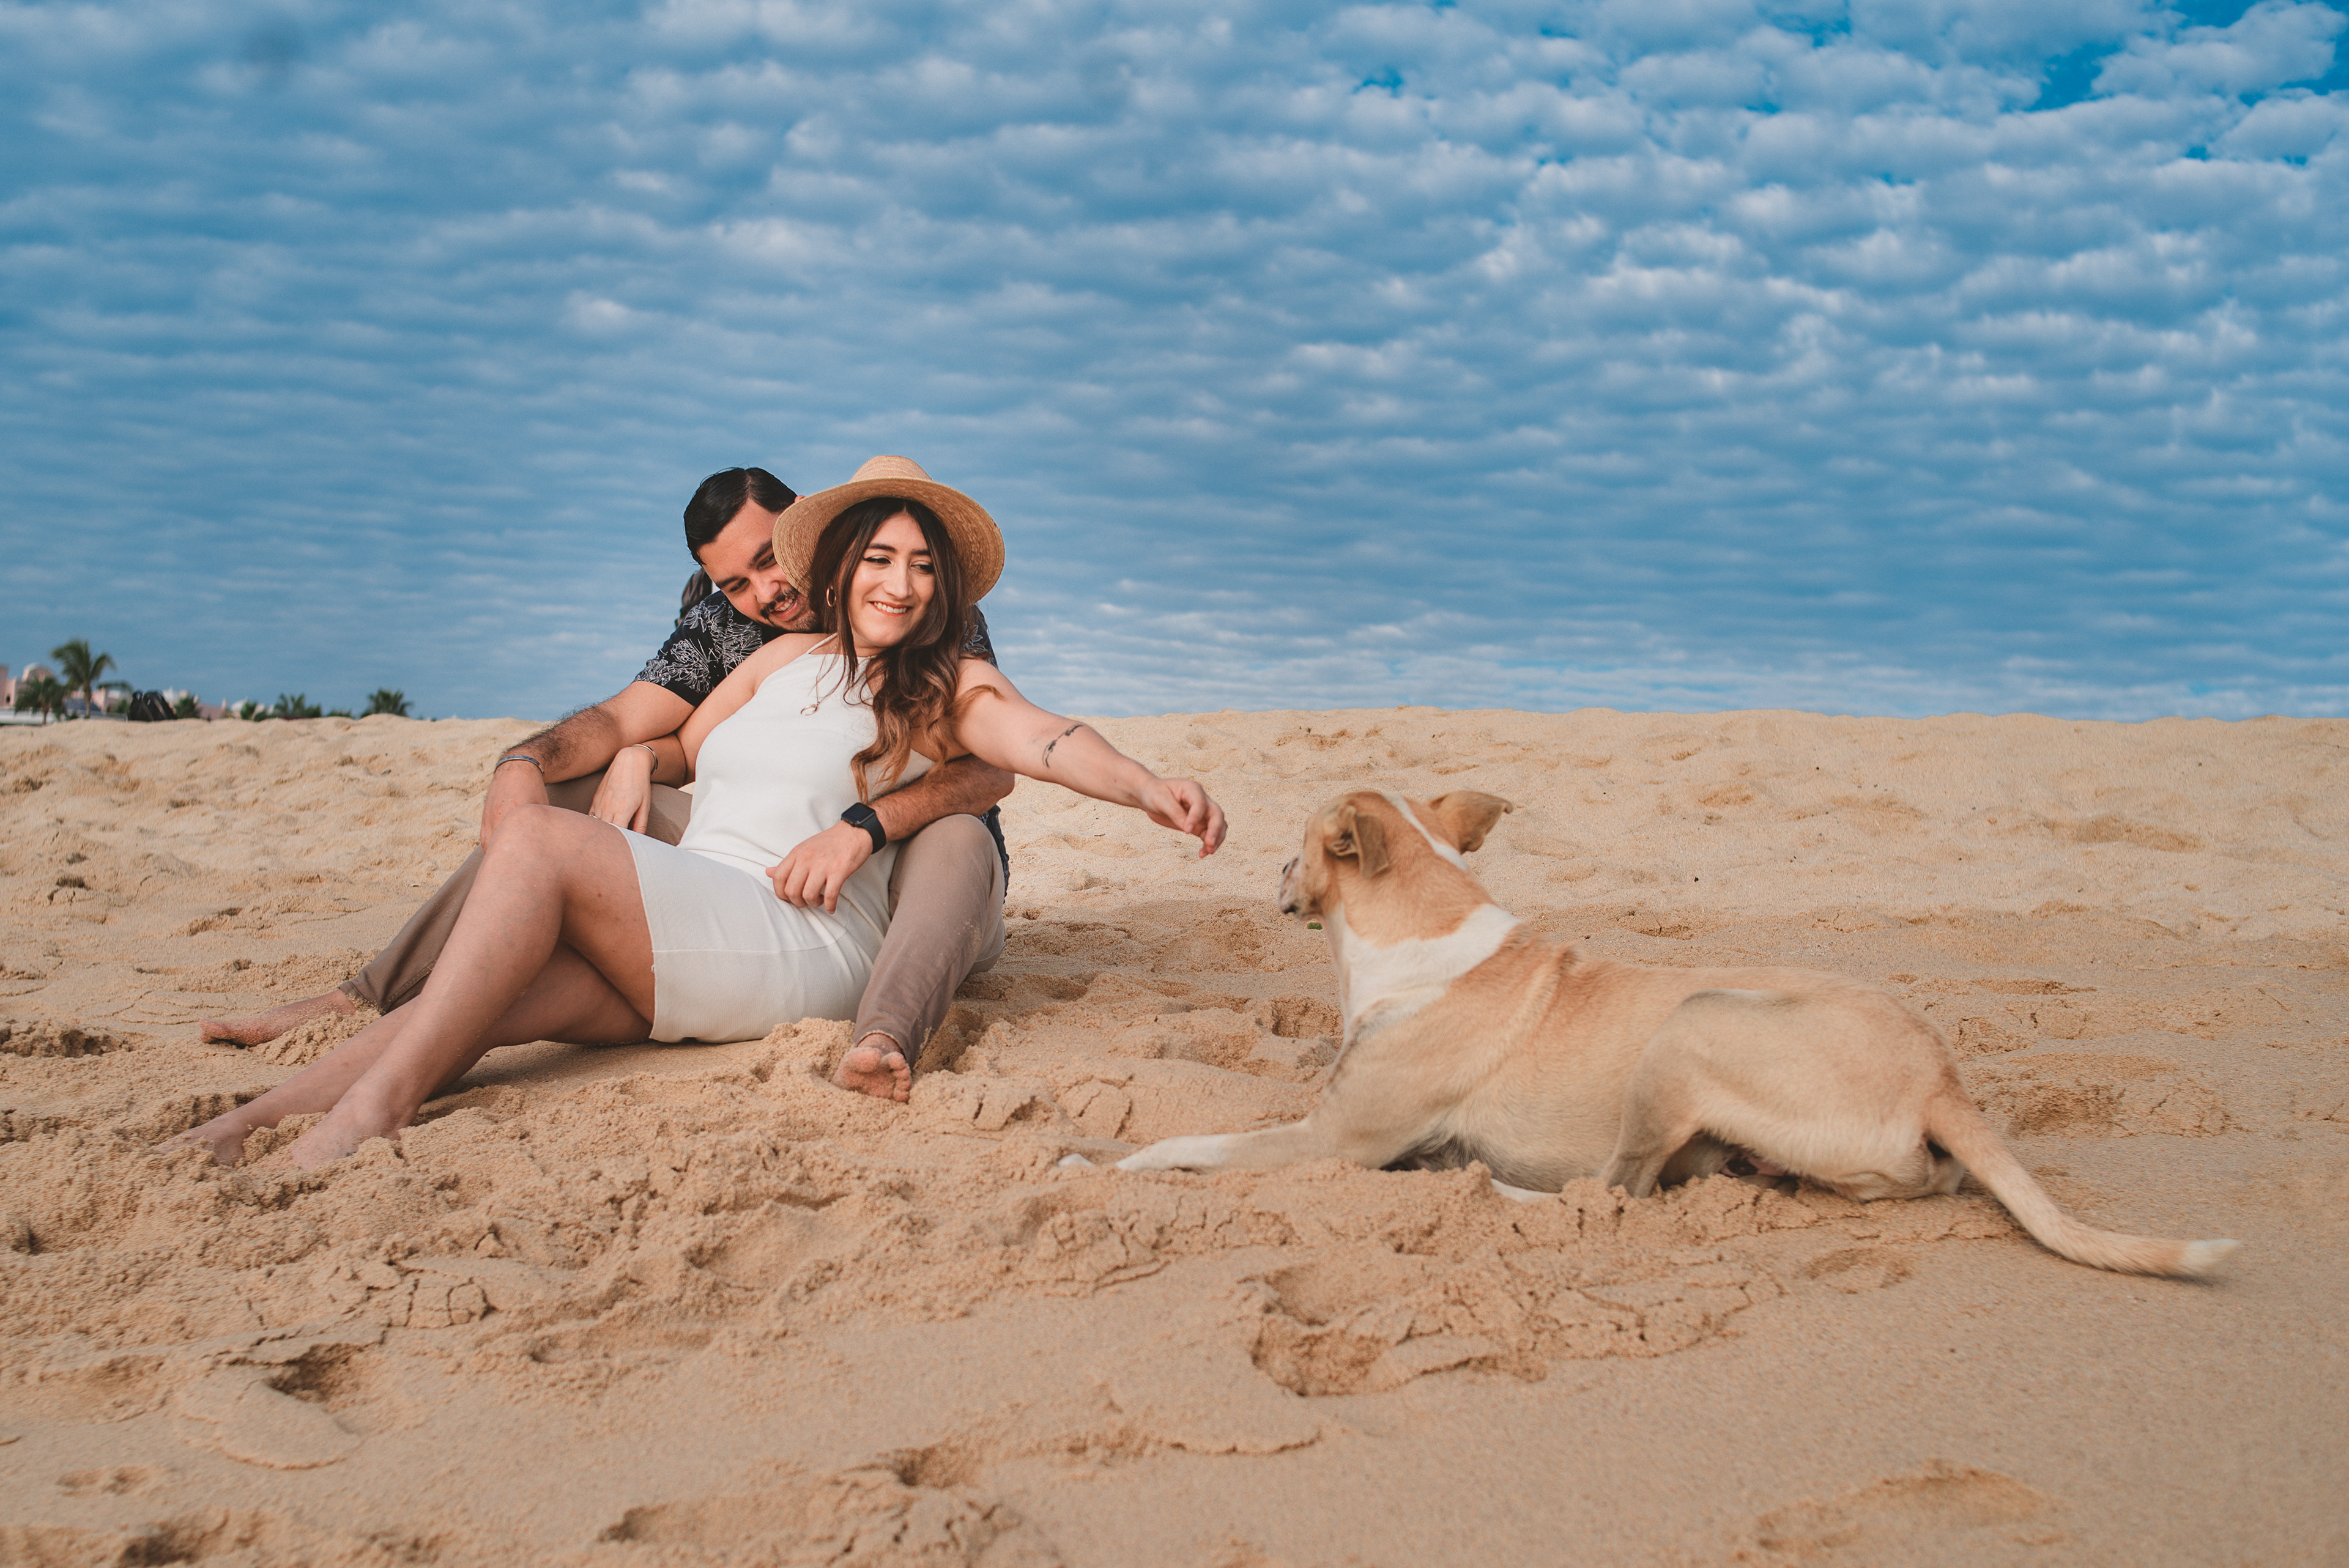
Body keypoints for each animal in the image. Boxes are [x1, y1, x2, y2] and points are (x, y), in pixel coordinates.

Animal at [1116, 789, 2238, 1279]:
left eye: (1301, 846)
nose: (1269, 875)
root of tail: (1942, 1081)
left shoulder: (1330, 1143)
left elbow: (1185, 1143)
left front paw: (1109, 1160)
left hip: (1693, 1027)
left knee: (1615, 1193)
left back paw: (1484, 1186)